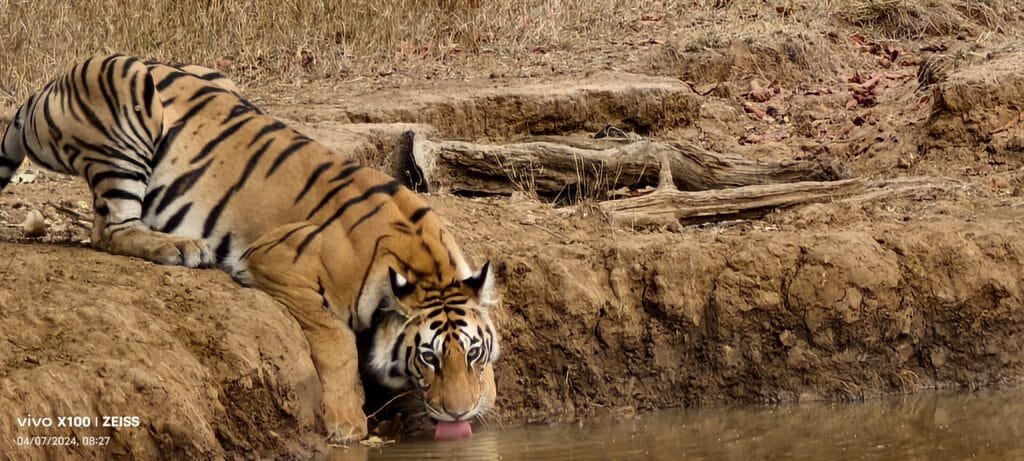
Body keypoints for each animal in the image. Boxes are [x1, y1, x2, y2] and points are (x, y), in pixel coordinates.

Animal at [0, 54, 500, 443]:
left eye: (472, 354)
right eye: (428, 356)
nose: (459, 413)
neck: (422, 263)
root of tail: (45, 89)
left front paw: (488, 395)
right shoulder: (278, 259)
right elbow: (336, 339)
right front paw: (346, 423)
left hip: (215, 78)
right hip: (127, 91)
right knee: (110, 230)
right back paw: (183, 248)